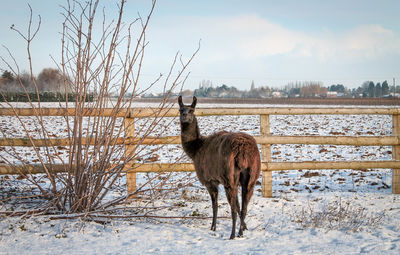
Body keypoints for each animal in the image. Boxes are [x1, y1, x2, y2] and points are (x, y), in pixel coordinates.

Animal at [177, 95, 260, 239]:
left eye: (192, 110)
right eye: (180, 109)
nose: (184, 116)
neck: (196, 149)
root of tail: (243, 150)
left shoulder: (210, 180)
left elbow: (215, 206)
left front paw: (213, 227)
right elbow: (239, 205)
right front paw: (244, 227)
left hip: (229, 175)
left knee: (233, 208)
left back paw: (232, 235)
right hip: (251, 174)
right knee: (244, 206)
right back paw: (239, 233)